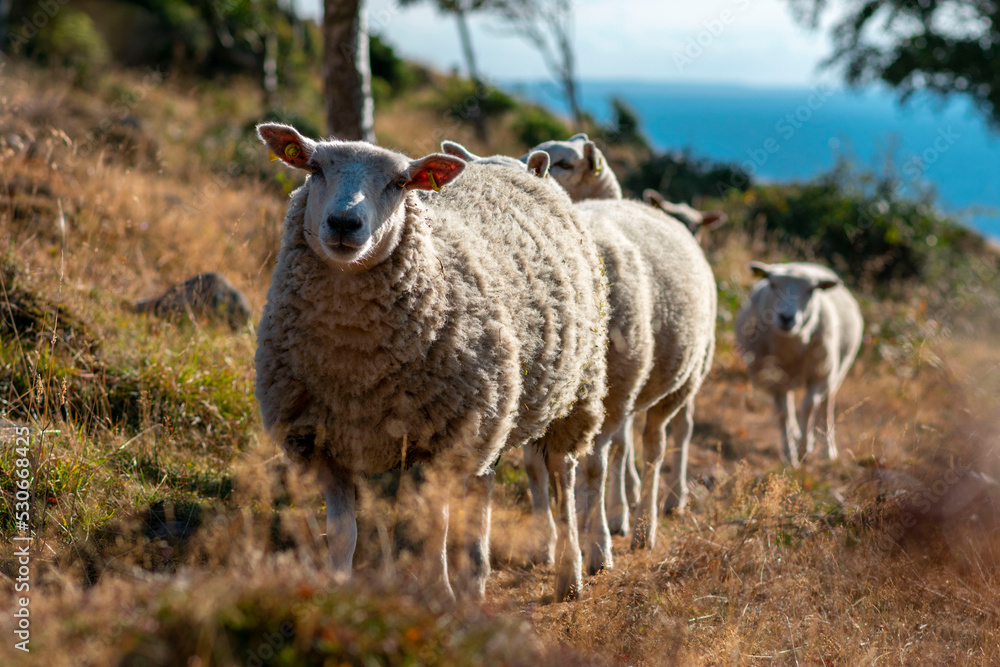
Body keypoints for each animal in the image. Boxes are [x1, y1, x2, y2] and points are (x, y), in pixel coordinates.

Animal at [255, 123, 609, 602]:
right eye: (314, 168)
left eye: (400, 182)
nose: (344, 223)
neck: (355, 369)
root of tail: (510, 164)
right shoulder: (322, 442)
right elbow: (344, 533)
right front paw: (338, 589)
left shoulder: (436, 443)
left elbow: (434, 527)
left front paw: (438, 593)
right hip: (490, 411)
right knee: (482, 485)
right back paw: (476, 575)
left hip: (575, 392)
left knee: (563, 478)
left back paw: (569, 575)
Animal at [735, 262, 863, 465]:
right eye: (772, 284)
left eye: (811, 290)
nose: (786, 318)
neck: (790, 347)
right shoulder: (774, 381)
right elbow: (783, 414)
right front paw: (790, 455)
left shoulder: (821, 373)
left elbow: (809, 406)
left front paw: (804, 449)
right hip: (785, 377)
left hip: (837, 370)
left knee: (826, 405)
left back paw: (827, 449)